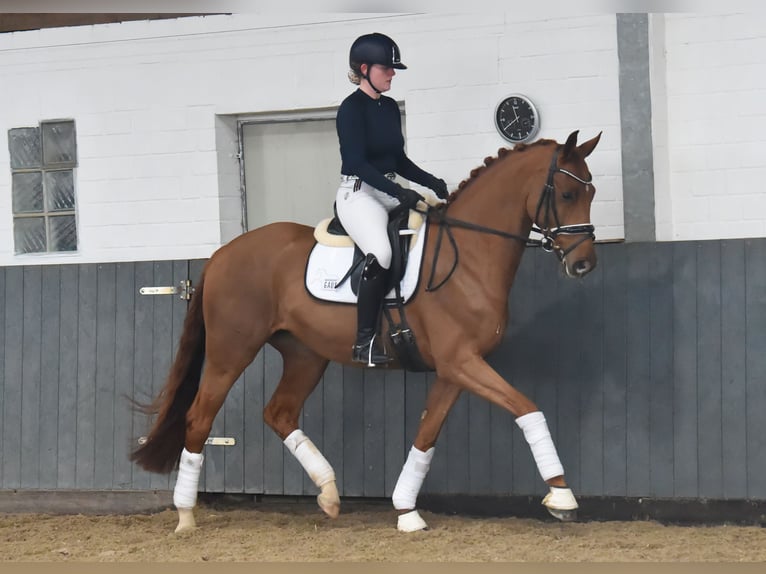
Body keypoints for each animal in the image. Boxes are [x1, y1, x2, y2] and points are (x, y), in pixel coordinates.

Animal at [132, 130, 604, 536]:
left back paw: (328, 494)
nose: (583, 265)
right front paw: (562, 496)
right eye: (567, 194)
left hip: (305, 354)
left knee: (279, 413)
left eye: (592, 193)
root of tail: (222, 253)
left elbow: (426, 435)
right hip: (232, 350)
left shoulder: (454, 369)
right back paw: (186, 517)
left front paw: (406, 511)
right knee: (199, 417)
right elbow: (528, 408)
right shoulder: (462, 362)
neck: (467, 256)